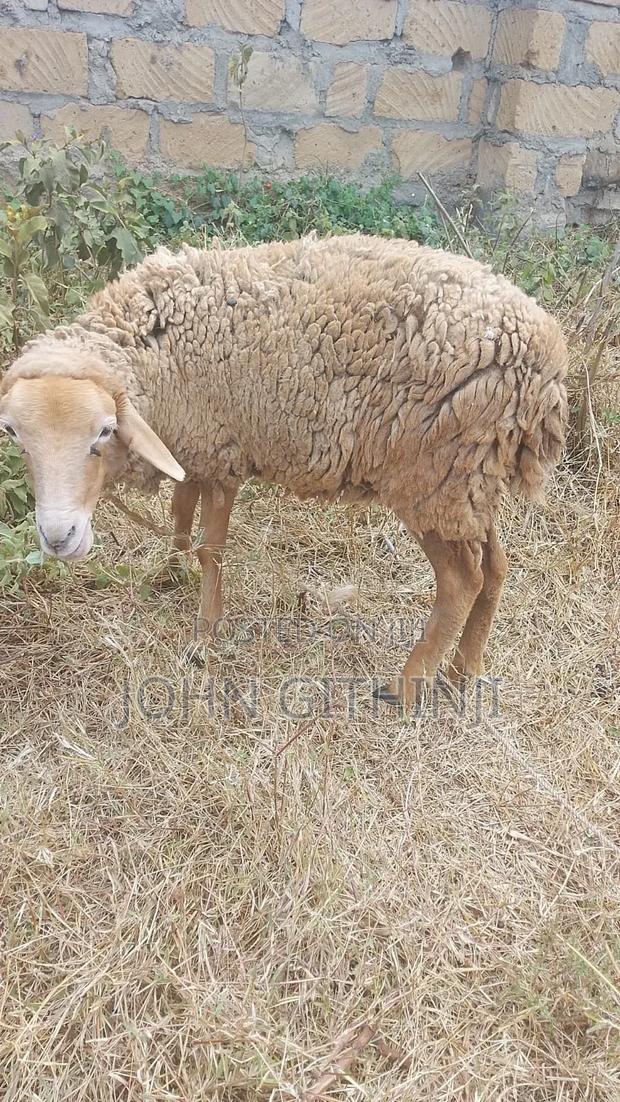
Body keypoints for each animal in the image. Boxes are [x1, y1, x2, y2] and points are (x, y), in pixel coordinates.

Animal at [0, 233, 568, 706]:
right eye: (15, 434)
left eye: (103, 431)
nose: (58, 537)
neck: (155, 353)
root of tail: (546, 364)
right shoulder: (195, 445)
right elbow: (180, 513)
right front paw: (169, 573)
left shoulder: (222, 454)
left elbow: (211, 549)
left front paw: (204, 637)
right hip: (470, 481)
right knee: (495, 567)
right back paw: (463, 670)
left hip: (429, 477)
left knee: (461, 580)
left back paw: (408, 686)